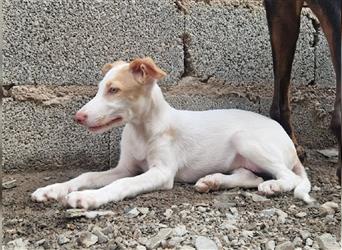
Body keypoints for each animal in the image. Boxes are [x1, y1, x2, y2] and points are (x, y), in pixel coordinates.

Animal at [31, 57, 312, 208]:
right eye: (100, 88)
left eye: (114, 90)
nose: (78, 117)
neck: (142, 129)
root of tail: (287, 138)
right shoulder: (125, 167)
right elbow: (87, 175)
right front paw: (53, 189)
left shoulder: (162, 172)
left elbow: (122, 184)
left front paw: (88, 198)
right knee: (250, 176)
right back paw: (212, 181)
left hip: (246, 139)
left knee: (288, 177)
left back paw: (274, 186)